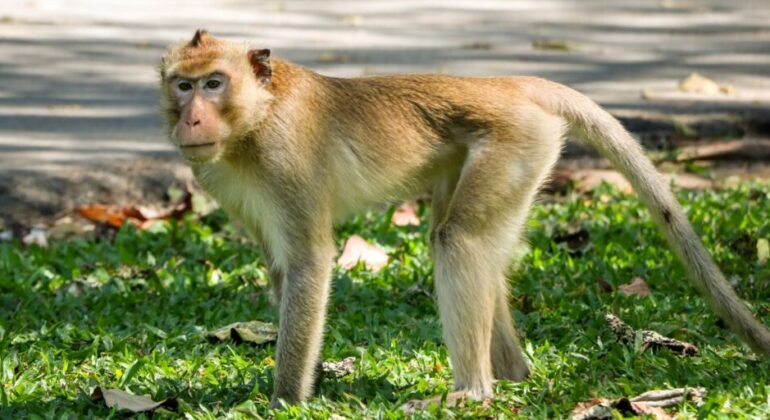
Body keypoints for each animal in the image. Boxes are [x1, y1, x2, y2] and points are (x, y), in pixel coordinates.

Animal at [159, 30, 770, 408]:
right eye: (182, 84)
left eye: (214, 82)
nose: (191, 118)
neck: (254, 120)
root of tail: (507, 84)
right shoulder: (226, 181)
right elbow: (284, 270)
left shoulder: (287, 158)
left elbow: (309, 263)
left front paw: (285, 399)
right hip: (487, 153)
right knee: (459, 240)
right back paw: (513, 374)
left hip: (517, 142)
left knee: (459, 241)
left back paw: (472, 391)